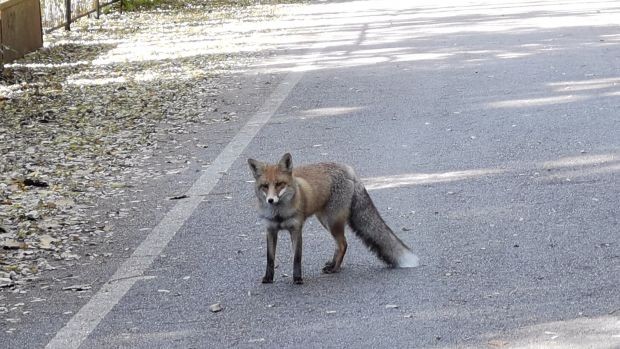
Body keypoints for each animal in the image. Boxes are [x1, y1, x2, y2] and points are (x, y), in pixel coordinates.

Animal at [249, 152, 418, 282]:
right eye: (265, 186)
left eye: (279, 184)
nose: (271, 200)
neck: (279, 215)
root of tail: (349, 170)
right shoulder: (270, 230)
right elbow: (270, 258)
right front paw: (268, 278)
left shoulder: (296, 229)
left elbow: (297, 257)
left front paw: (297, 279)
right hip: (325, 221)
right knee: (339, 244)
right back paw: (332, 264)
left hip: (332, 222)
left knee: (343, 244)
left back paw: (335, 268)